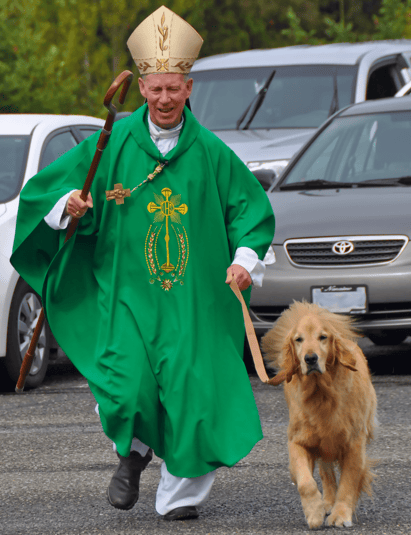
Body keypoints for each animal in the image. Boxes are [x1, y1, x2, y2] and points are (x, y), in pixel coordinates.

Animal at [262, 302, 378, 532]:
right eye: (298, 339)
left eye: (322, 337)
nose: (310, 358)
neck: (322, 393)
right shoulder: (298, 441)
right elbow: (305, 482)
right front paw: (314, 511)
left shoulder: (354, 443)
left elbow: (349, 482)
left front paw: (341, 515)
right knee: (326, 474)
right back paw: (327, 503)